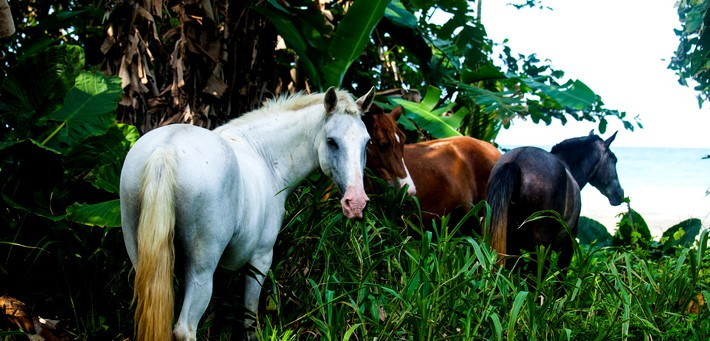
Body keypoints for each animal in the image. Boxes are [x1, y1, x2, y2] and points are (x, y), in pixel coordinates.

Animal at [119, 87, 376, 340]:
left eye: (367, 143)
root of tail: (166, 149)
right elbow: (249, 319)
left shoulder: (223, 269)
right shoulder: (260, 260)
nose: (356, 203)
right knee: (185, 329)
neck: (265, 156)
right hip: (201, 269)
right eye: (331, 141)